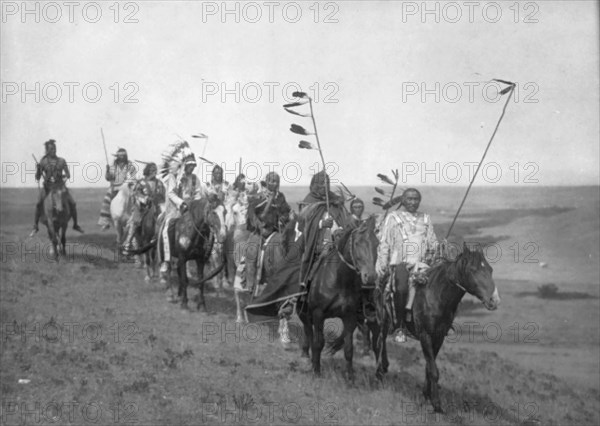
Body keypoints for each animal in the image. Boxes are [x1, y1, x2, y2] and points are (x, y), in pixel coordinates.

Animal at [296, 215, 378, 382]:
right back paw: (306, 356)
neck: (339, 280)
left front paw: (350, 376)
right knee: (308, 331)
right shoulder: (318, 314)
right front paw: (316, 371)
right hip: (304, 311)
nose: (370, 277)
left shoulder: (350, 316)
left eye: (377, 243)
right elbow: (318, 342)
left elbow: (348, 348)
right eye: (357, 243)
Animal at [376, 243, 502, 412]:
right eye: (472, 270)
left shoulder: (439, 337)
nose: (494, 300)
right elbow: (434, 371)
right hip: (383, 322)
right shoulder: (425, 336)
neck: (437, 296)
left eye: (490, 269)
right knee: (379, 342)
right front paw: (436, 404)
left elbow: (429, 368)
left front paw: (426, 395)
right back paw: (380, 372)